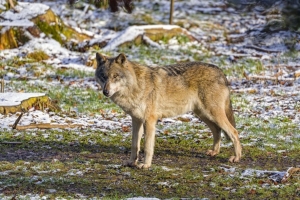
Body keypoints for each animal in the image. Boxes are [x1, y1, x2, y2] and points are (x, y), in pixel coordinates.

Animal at [95, 52, 243, 169]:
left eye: (115, 76)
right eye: (103, 76)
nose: (105, 92)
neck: (136, 85)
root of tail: (221, 71)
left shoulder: (149, 121)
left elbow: (147, 147)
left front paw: (146, 165)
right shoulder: (136, 120)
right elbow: (134, 145)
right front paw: (132, 162)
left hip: (212, 114)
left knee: (234, 132)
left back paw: (236, 158)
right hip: (203, 115)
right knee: (217, 131)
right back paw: (214, 152)